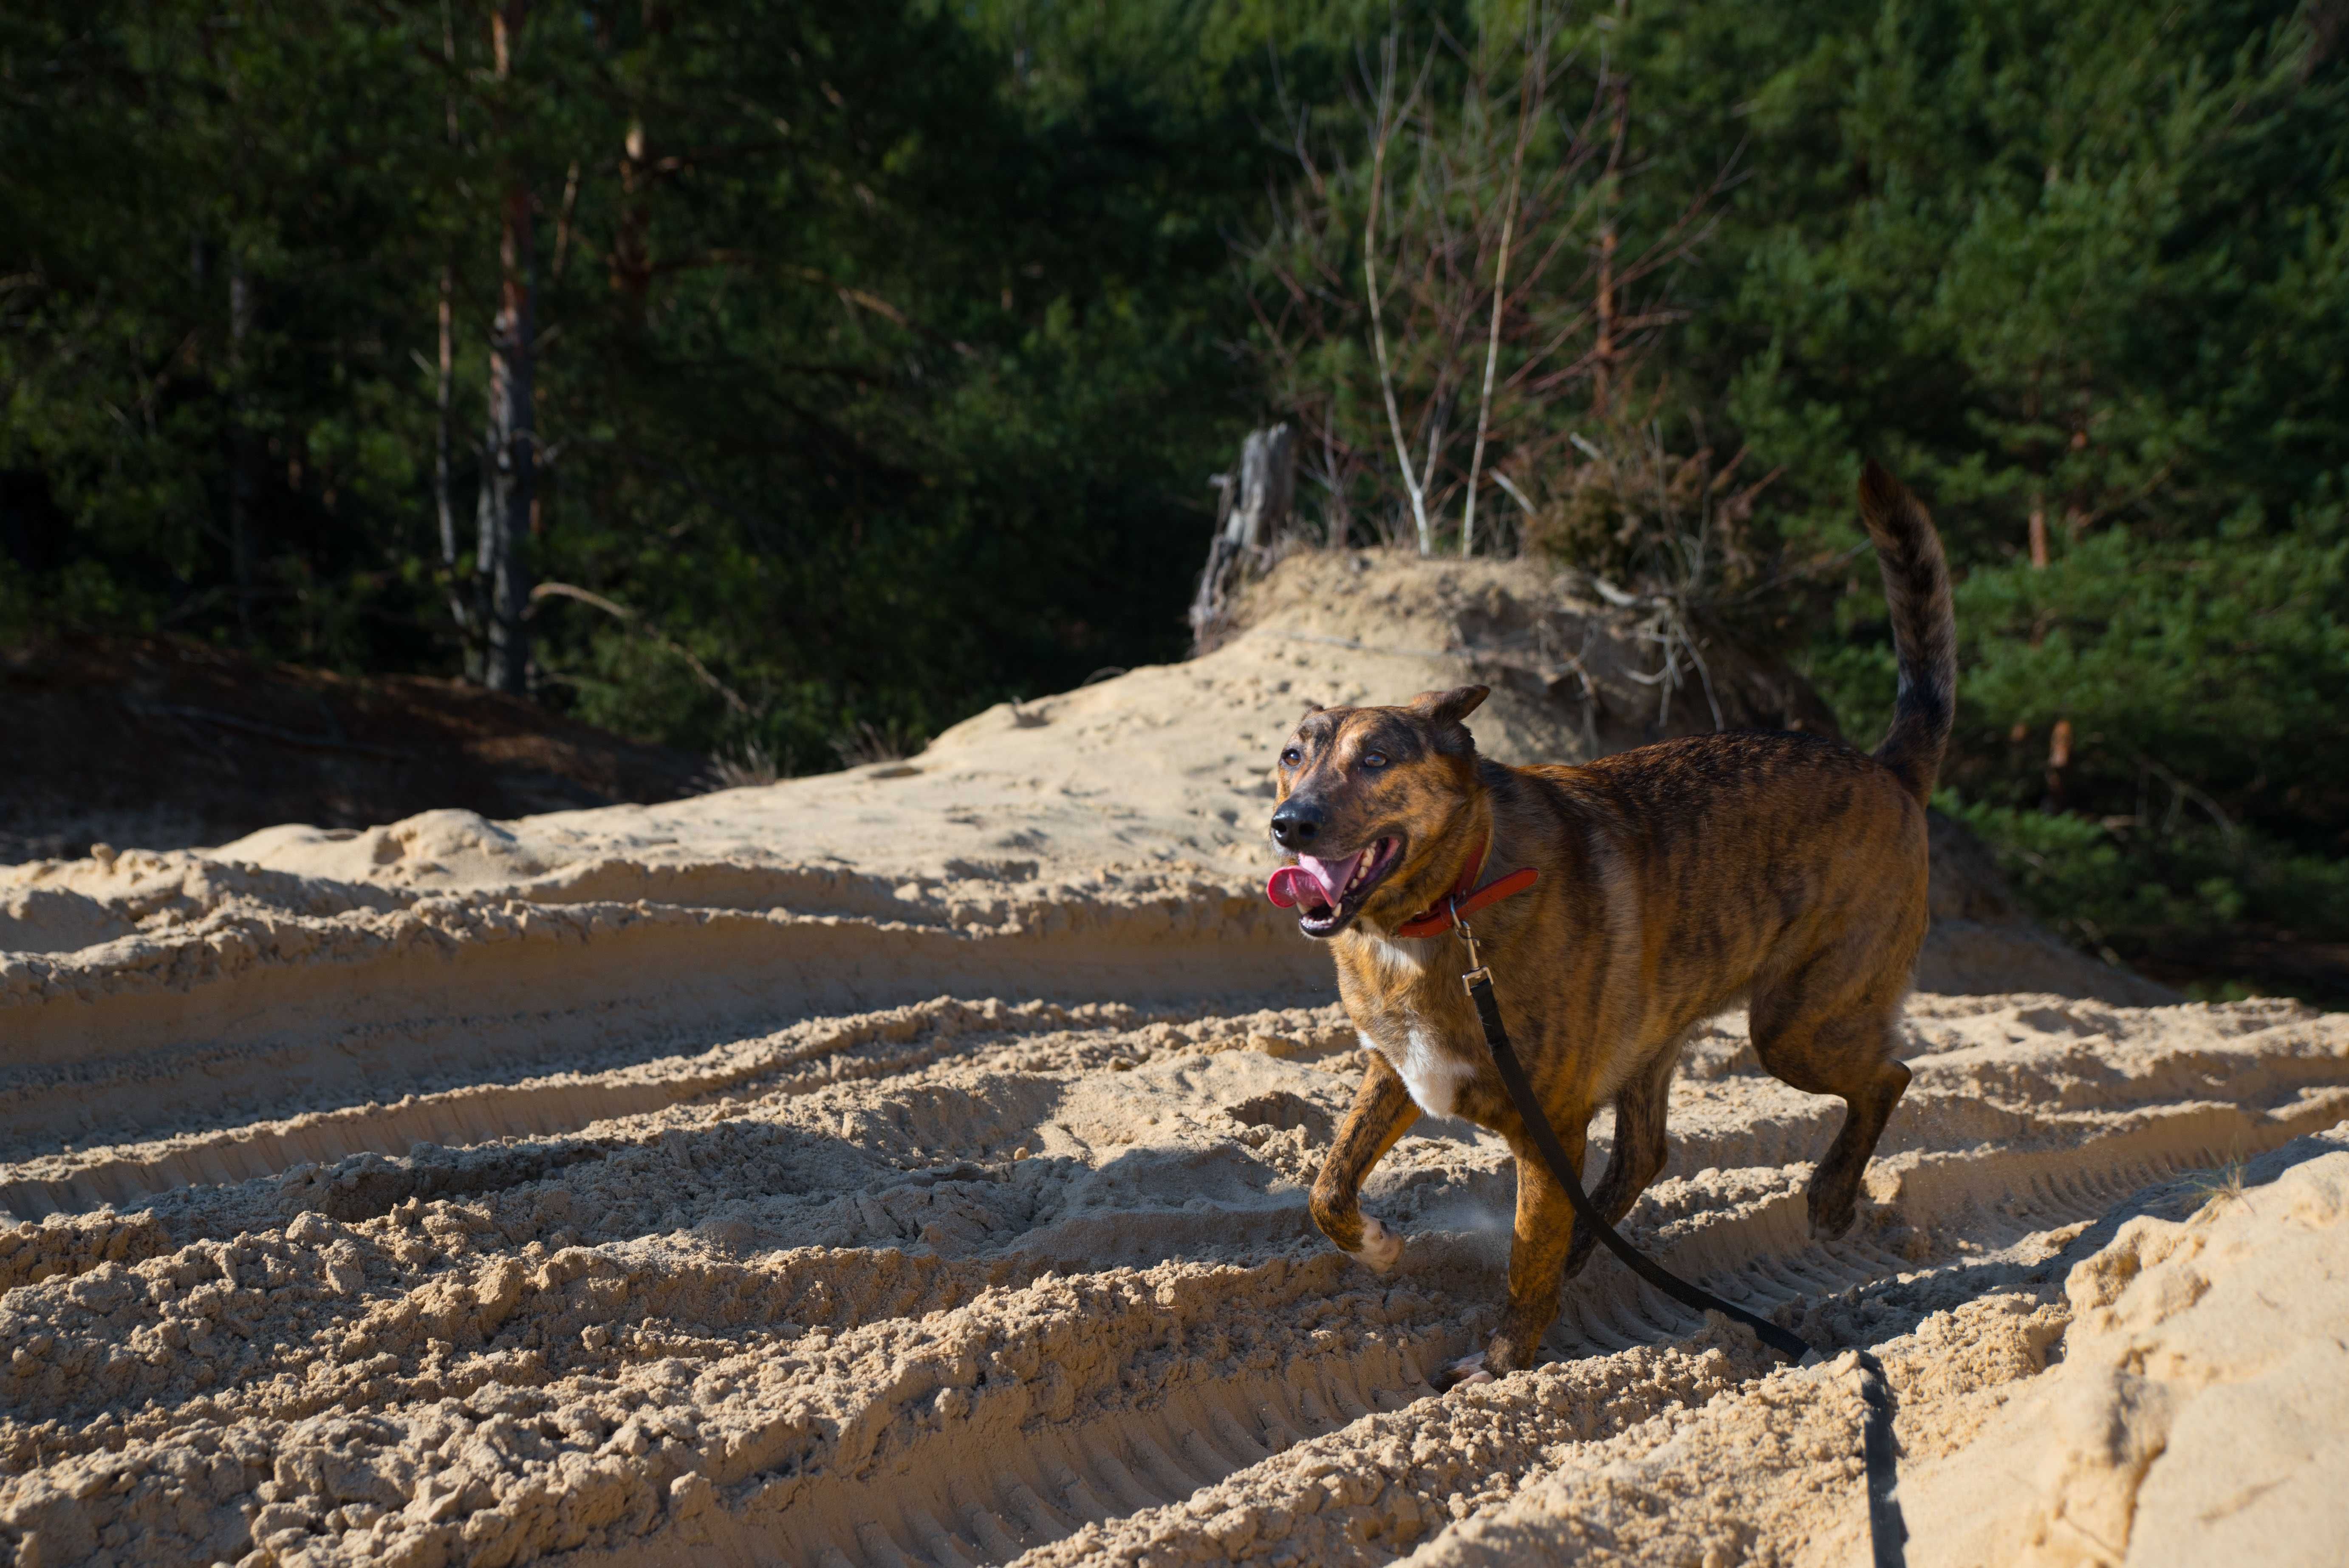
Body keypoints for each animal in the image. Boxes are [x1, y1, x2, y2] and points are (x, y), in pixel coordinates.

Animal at [1278, 462, 1954, 1380]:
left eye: (1375, 760)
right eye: (1292, 756)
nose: (1289, 825)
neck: (1446, 905)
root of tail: (1886, 769)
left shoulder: (1544, 1129)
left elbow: (1523, 1255)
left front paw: (1500, 1364)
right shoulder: (1396, 1071)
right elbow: (1328, 1188)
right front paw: (1378, 1246)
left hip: (1796, 1024)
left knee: (1889, 1076)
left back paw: (1829, 1196)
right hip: (1659, 1029)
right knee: (1642, 1156)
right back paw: (1587, 1249)